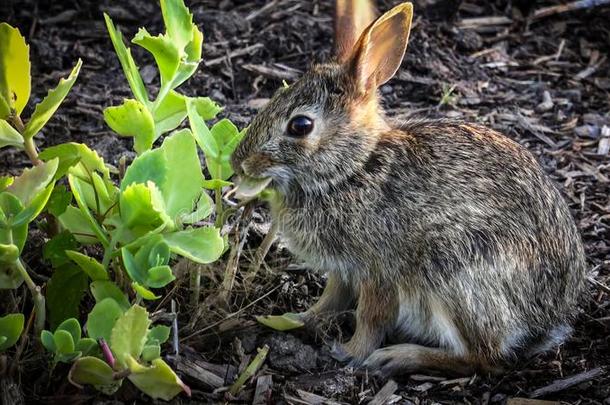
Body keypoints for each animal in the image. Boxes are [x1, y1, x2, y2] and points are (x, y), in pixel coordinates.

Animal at [229, 0, 584, 376]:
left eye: (300, 125)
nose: (239, 162)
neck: (353, 169)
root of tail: (548, 320)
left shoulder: (379, 271)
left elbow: (370, 316)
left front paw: (350, 353)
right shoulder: (343, 270)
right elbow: (330, 300)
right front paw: (296, 318)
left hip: (454, 273)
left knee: (482, 357)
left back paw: (397, 357)